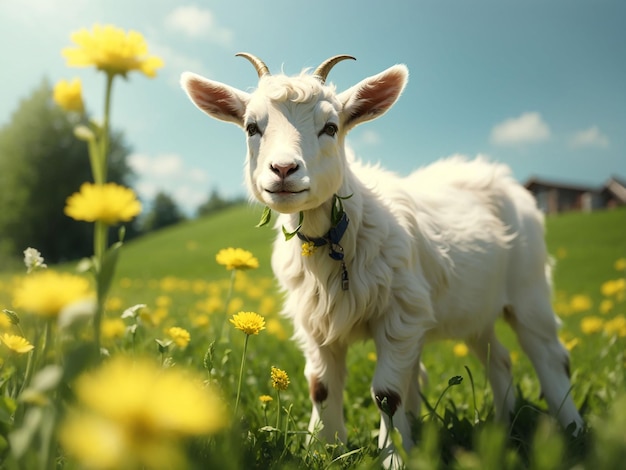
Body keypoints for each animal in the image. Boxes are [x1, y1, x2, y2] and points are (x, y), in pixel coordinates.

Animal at [178, 54, 584, 462]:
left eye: (330, 127)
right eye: (251, 127)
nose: (283, 170)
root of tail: (498, 174)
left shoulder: (400, 314)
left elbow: (388, 395)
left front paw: (393, 457)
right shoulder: (315, 322)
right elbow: (321, 387)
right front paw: (323, 448)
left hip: (529, 288)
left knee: (551, 355)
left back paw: (573, 429)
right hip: (474, 308)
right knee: (498, 359)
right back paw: (501, 431)